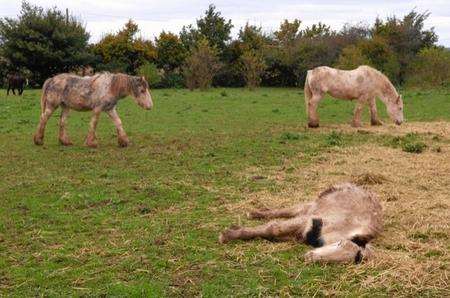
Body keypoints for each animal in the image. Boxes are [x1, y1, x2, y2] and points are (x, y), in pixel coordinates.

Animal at [220, 182, 382, 264]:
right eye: (341, 245)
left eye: (356, 259)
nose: (309, 258)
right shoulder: (308, 220)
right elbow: (274, 228)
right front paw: (227, 235)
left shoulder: (301, 231)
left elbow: (273, 231)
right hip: (310, 206)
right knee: (286, 211)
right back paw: (254, 213)